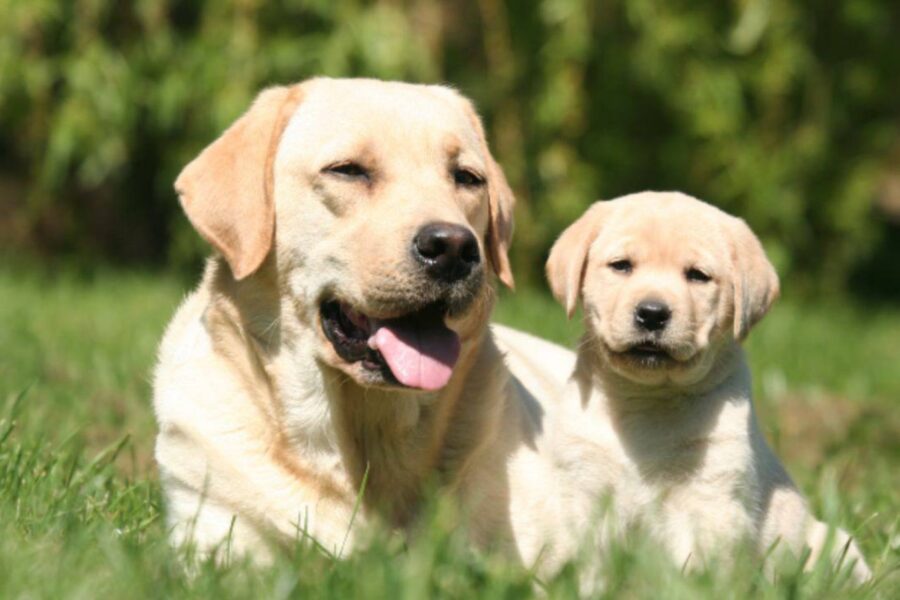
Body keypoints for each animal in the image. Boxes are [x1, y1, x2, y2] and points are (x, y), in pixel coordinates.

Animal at [544, 192, 868, 580]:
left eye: (697, 276)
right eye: (621, 266)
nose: (652, 313)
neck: (647, 400)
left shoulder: (711, 497)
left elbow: (701, 572)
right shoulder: (583, 488)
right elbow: (584, 564)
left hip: (835, 549)